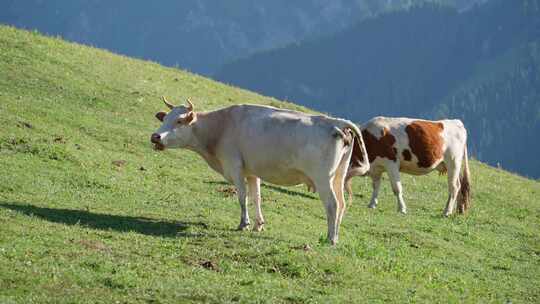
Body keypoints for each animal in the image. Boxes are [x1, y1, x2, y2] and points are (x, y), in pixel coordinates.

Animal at [152, 97, 372, 245]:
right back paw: (336, 236)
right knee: (342, 204)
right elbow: (256, 197)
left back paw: (330, 238)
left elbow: (242, 197)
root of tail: (335, 121)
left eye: (179, 121)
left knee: (332, 205)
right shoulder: (252, 172)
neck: (221, 127)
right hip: (338, 176)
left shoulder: (235, 166)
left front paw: (244, 224)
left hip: (323, 178)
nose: (155, 136)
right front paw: (259, 224)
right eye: (165, 119)